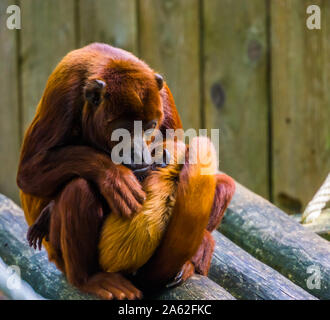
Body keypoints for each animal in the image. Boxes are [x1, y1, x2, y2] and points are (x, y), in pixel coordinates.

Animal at [17, 43, 235, 300]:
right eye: (122, 130)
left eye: (150, 126)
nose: (138, 151)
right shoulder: (63, 92)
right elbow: (29, 173)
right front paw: (113, 177)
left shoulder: (163, 95)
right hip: (60, 256)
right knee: (79, 189)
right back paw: (88, 278)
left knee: (223, 183)